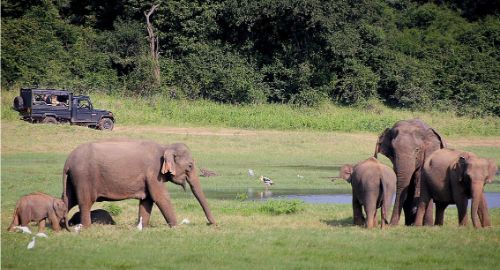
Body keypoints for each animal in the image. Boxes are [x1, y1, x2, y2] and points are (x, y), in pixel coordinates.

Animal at [62, 139, 215, 228]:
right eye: (190, 166)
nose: (211, 224)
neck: (165, 147)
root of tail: (68, 161)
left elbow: (147, 200)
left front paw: (142, 227)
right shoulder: (154, 172)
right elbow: (160, 197)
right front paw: (176, 227)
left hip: (73, 179)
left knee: (68, 200)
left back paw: (62, 226)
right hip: (84, 177)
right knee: (85, 202)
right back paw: (86, 227)